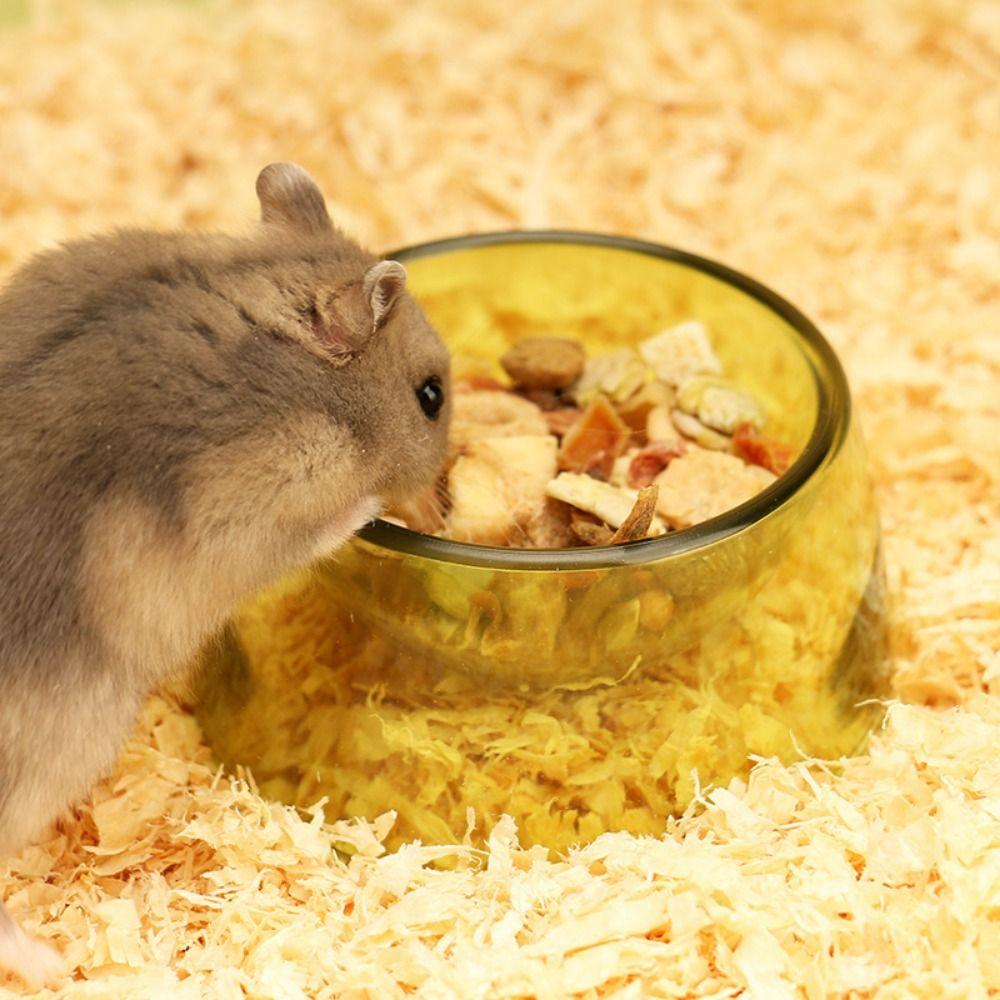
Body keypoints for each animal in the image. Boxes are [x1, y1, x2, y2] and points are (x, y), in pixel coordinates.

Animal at [0, 163, 451, 987]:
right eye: (429, 397)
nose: (441, 506)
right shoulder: (256, 494)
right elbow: (321, 527)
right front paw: (372, 507)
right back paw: (49, 963)